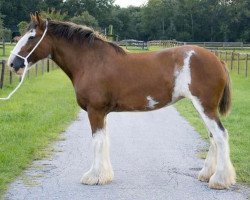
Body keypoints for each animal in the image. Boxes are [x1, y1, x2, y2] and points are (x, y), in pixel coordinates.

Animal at [6, 13, 235, 190]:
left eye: (31, 37)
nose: (12, 63)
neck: (91, 61)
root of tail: (218, 59)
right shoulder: (102, 113)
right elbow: (104, 141)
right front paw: (104, 175)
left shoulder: (95, 111)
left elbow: (97, 142)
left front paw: (93, 177)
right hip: (204, 108)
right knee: (213, 137)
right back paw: (206, 174)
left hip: (205, 107)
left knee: (221, 136)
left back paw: (219, 180)